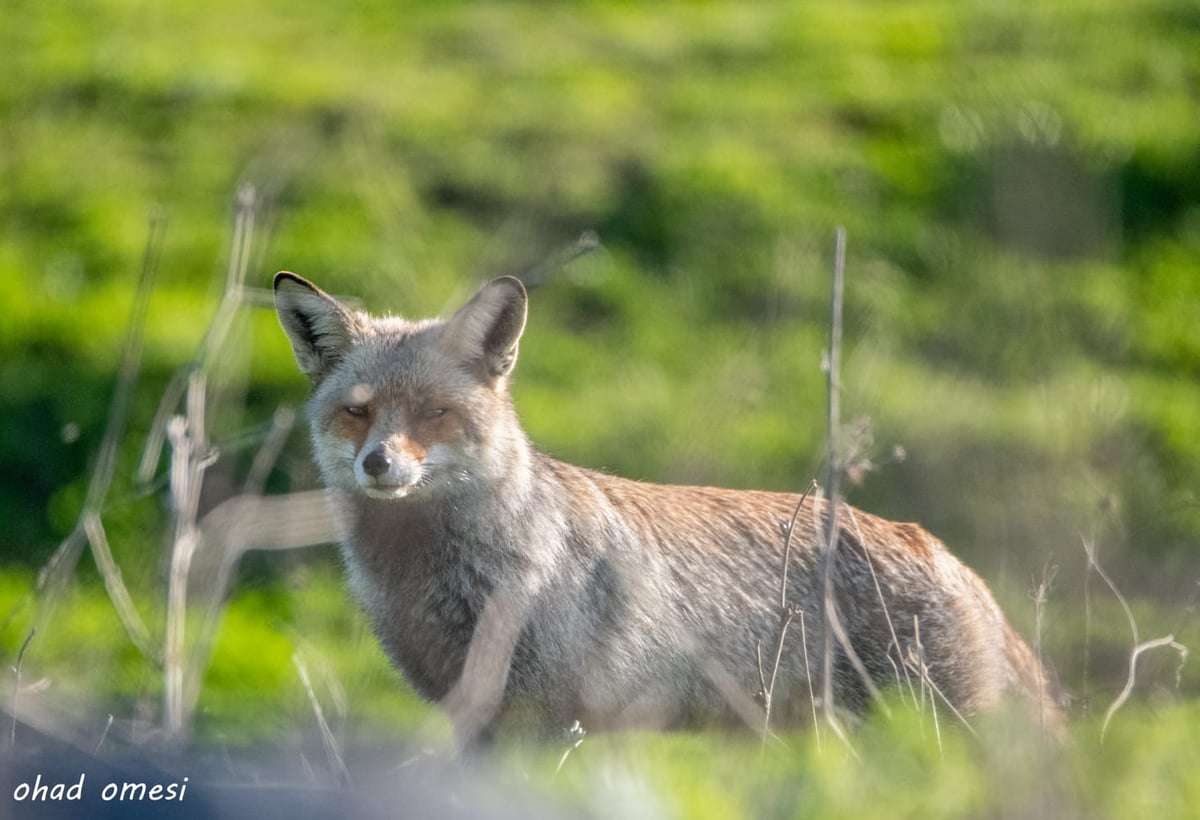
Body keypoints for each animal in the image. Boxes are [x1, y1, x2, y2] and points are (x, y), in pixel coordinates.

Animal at [276, 272, 1065, 749]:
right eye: (357, 412)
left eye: (434, 413)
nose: (379, 464)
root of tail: (949, 556)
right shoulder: (475, 719)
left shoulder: (552, 718)